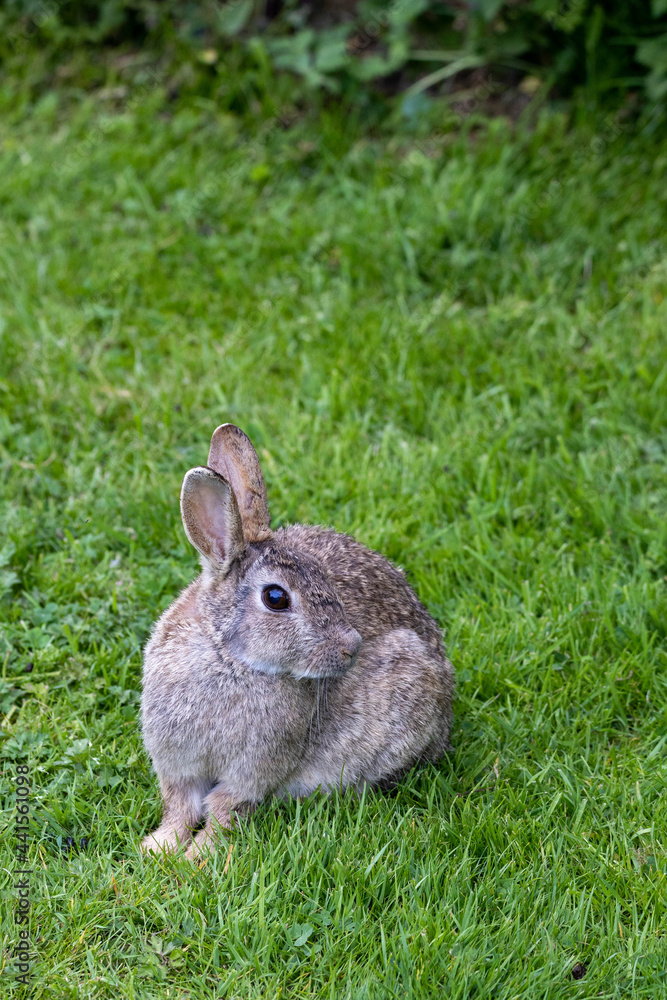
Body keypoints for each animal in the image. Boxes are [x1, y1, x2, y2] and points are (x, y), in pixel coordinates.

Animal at [140, 424, 455, 859]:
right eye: (276, 598)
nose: (351, 647)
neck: (229, 658)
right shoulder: (177, 763)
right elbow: (180, 806)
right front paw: (158, 849)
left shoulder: (253, 770)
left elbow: (222, 809)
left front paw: (200, 859)